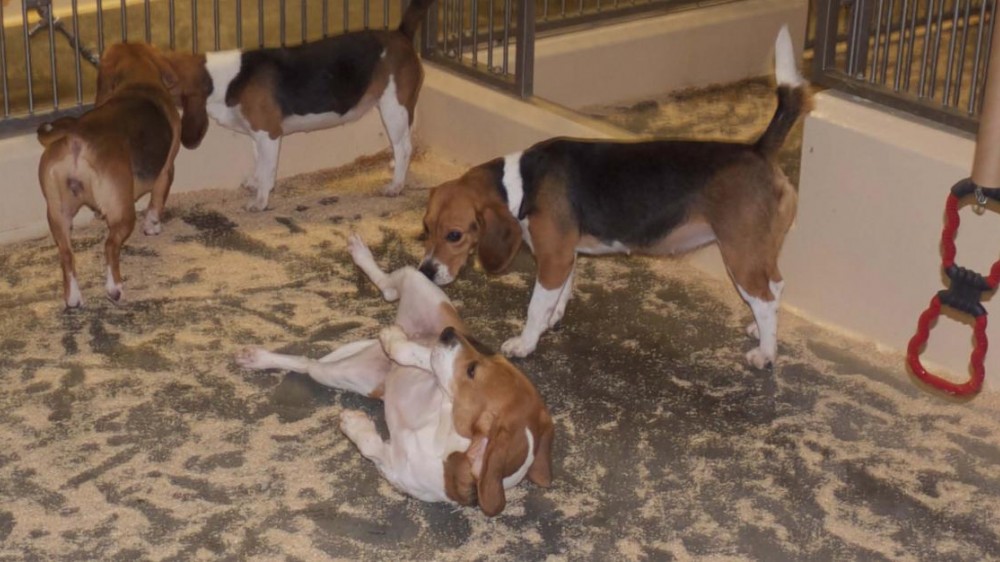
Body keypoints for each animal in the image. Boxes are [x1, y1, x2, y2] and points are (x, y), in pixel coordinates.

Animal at [37, 42, 208, 306]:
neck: (138, 83)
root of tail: (77, 136)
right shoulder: (166, 170)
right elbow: (156, 202)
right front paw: (152, 226)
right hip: (123, 212)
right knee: (109, 246)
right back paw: (114, 288)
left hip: (58, 213)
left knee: (66, 255)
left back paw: (74, 298)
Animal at [166, 0, 436, 210]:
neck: (228, 78)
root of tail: (401, 34)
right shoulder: (256, 135)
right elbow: (259, 163)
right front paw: (255, 182)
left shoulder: (269, 133)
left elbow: (267, 170)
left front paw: (260, 200)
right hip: (396, 109)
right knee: (404, 142)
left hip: (393, 108)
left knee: (404, 147)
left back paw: (396, 185)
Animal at [239, 234, 560, 516]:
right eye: (485, 359)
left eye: (472, 370)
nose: (448, 334)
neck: (445, 440)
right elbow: (425, 358)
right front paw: (399, 343)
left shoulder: (394, 468)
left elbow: (370, 444)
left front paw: (355, 424)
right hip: (419, 284)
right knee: (391, 287)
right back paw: (362, 258)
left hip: (335, 373)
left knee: (307, 363)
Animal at [418, 27, 808, 368]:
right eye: (426, 228)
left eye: (455, 235)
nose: (425, 271)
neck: (522, 183)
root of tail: (758, 149)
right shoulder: (565, 256)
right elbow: (558, 296)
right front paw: (550, 321)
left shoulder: (554, 258)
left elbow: (536, 305)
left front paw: (525, 342)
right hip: (758, 251)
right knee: (775, 287)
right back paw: (759, 331)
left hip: (740, 253)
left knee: (766, 299)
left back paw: (765, 353)